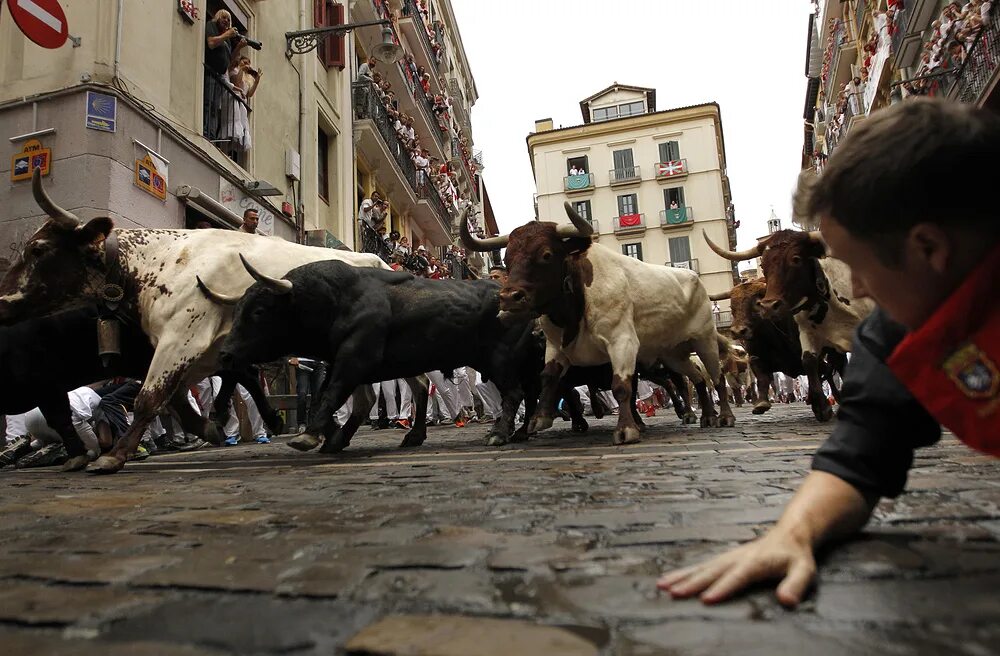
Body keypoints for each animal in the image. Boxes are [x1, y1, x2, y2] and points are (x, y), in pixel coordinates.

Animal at [211, 258, 540, 454]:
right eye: (237, 310)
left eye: (259, 311)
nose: (225, 355)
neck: (338, 299)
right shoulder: (341, 360)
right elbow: (332, 398)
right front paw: (334, 438)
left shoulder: (355, 359)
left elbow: (332, 394)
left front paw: (310, 436)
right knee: (527, 393)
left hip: (501, 360)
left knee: (514, 393)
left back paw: (499, 433)